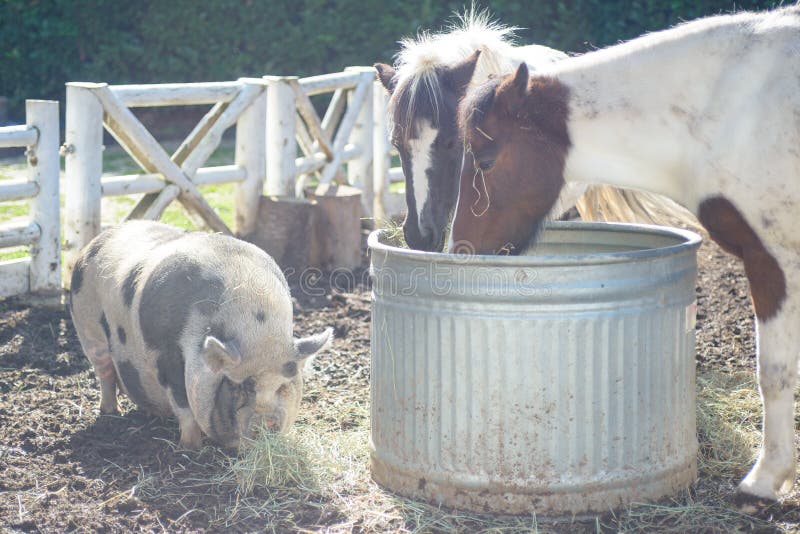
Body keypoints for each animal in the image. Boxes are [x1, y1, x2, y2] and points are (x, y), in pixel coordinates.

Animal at [69, 220, 332, 449]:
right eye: (239, 387)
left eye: (283, 385)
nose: (266, 423)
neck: (256, 333)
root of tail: (95, 243)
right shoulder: (166, 359)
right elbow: (184, 408)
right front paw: (189, 448)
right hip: (88, 330)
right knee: (105, 373)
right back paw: (110, 412)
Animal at [450, 5, 800, 506]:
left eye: (484, 159)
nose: (458, 249)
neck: (731, 108)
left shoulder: (772, 262)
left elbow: (773, 372)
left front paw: (765, 479)